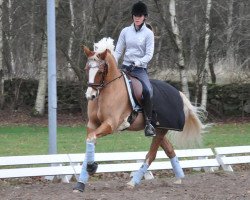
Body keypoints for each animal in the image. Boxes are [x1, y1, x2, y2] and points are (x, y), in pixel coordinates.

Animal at [73, 38, 205, 192]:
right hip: (159, 129)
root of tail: (178, 93)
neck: (107, 91)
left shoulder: (110, 125)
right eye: (87, 69)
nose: (90, 96)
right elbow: (89, 141)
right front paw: (81, 182)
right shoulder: (92, 124)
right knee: (169, 150)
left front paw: (91, 167)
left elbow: (91, 138)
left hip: (160, 130)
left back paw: (133, 182)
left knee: (151, 155)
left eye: (100, 71)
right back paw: (179, 177)